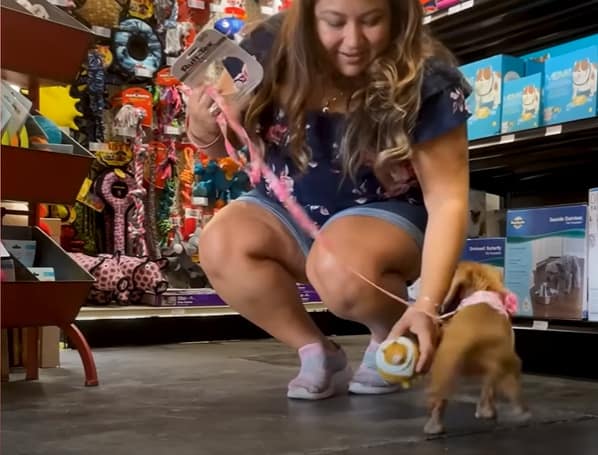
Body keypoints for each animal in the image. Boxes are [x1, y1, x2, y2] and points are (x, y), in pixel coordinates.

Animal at [424, 260, 532, 434]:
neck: (484, 289)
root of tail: (472, 339)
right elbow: (489, 389)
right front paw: (487, 411)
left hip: (445, 367)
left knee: (441, 400)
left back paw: (433, 426)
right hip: (507, 366)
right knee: (504, 391)